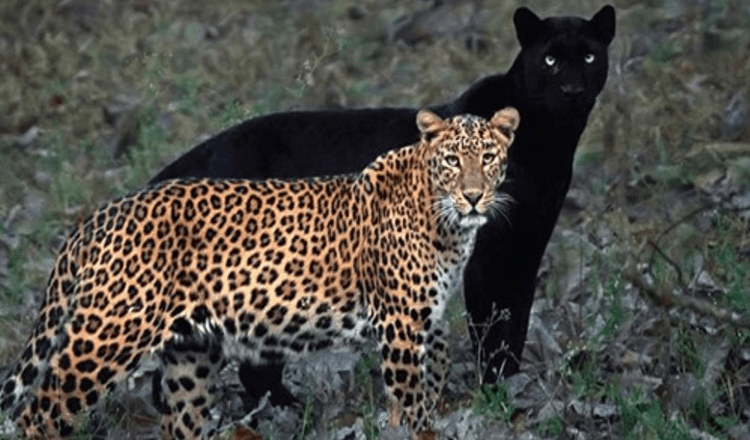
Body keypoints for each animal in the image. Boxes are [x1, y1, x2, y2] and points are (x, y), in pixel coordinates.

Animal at [0, 107, 520, 440]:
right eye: (452, 160)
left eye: (488, 158)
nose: (474, 196)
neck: (448, 225)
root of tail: (96, 218)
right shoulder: (400, 323)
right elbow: (410, 403)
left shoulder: (425, 320)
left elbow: (433, 385)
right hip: (106, 337)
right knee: (38, 414)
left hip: (191, 356)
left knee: (177, 422)